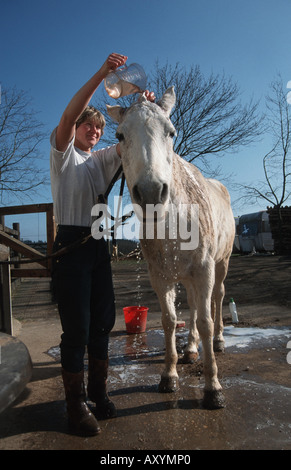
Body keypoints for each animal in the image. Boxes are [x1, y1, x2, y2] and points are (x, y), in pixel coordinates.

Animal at [108, 88, 236, 408]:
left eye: (171, 132)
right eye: (119, 135)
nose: (152, 192)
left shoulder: (204, 270)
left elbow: (205, 321)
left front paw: (213, 388)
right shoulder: (161, 276)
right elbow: (169, 321)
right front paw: (169, 375)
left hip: (221, 264)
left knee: (217, 298)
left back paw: (218, 340)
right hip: (187, 276)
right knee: (192, 306)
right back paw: (190, 350)